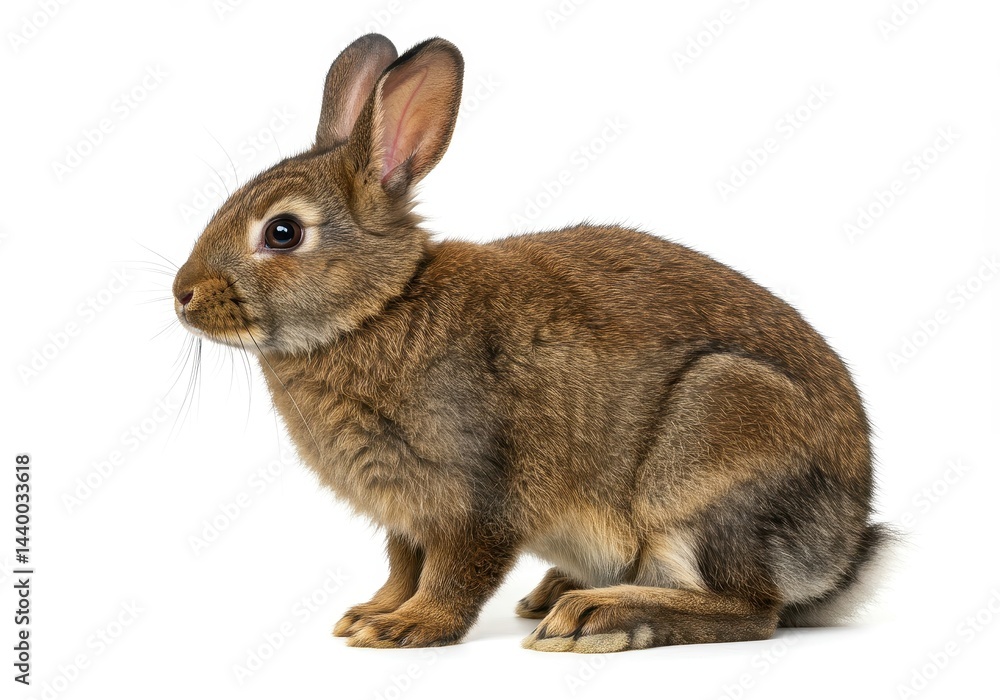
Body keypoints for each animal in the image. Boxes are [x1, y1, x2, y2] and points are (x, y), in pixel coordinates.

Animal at [172, 33, 893, 652]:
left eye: (283, 232)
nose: (182, 294)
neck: (380, 305)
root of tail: (842, 550)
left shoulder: (475, 492)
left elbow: (455, 571)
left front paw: (406, 629)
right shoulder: (407, 516)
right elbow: (403, 565)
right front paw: (369, 614)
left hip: (713, 450)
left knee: (752, 608)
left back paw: (598, 616)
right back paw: (558, 594)